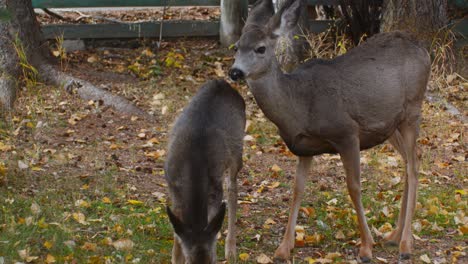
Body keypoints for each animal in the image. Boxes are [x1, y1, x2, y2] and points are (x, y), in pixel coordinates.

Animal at [165, 80, 245, 264]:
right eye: (189, 261)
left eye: (211, 261)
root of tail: (223, 83)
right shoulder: (173, 188)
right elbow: (177, 233)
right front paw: (175, 257)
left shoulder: (215, 190)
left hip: (237, 151)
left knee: (232, 188)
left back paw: (231, 250)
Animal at [229, 0, 430, 262]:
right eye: (236, 47)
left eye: (260, 48)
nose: (235, 72)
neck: (299, 106)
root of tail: (423, 49)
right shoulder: (304, 148)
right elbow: (297, 189)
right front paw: (283, 248)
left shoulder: (347, 133)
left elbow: (354, 187)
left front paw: (366, 247)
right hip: (390, 124)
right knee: (410, 160)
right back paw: (394, 236)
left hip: (412, 109)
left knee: (414, 166)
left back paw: (405, 244)